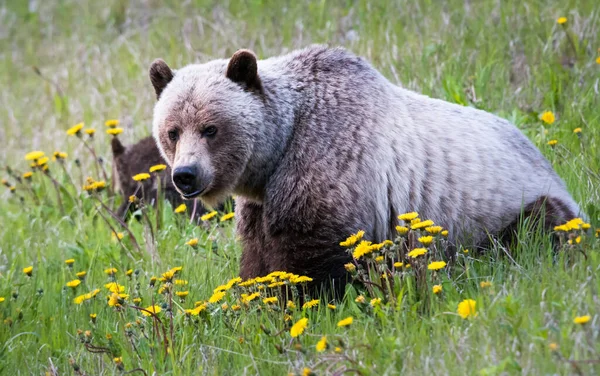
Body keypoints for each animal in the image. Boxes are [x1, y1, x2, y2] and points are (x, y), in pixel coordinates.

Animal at [149, 44, 580, 290]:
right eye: (172, 131)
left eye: (210, 128)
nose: (186, 175)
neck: (278, 150)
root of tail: (540, 153)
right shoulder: (259, 203)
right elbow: (257, 259)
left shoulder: (330, 165)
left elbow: (312, 258)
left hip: (513, 207)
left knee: (538, 228)